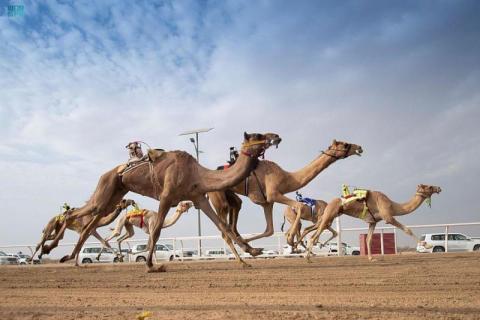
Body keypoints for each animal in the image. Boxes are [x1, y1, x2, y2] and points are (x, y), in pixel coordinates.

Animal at [42, 131, 282, 272]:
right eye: (257, 134)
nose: (277, 136)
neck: (197, 174)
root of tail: (111, 172)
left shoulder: (198, 197)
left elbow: (223, 227)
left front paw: (250, 255)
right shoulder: (167, 196)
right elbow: (156, 231)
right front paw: (150, 265)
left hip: (115, 195)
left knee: (90, 222)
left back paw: (66, 256)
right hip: (106, 186)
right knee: (75, 214)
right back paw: (49, 249)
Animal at [208, 140, 362, 255]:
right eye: (346, 144)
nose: (359, 148)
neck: (287, 177)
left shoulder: (267, 202)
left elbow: (269, 230)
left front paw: (251, 243)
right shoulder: (274, 194)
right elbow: (299, 206)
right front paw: (290, 240)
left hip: (229, 195)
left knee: (235, 211)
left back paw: (251, 249)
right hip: (217, 195)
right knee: (225, 226)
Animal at [302, 184, 440, 262]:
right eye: (429, 187)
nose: (439, 188)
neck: (392, 205)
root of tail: (329, 203)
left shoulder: (373, 222)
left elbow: (368, 239)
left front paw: (371, 258)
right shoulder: (388, 217)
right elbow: (407, 229)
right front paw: (427, 245)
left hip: (329, 217)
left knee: (315, 231)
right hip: (329, 214)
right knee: (314, 236)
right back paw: (308, 257)